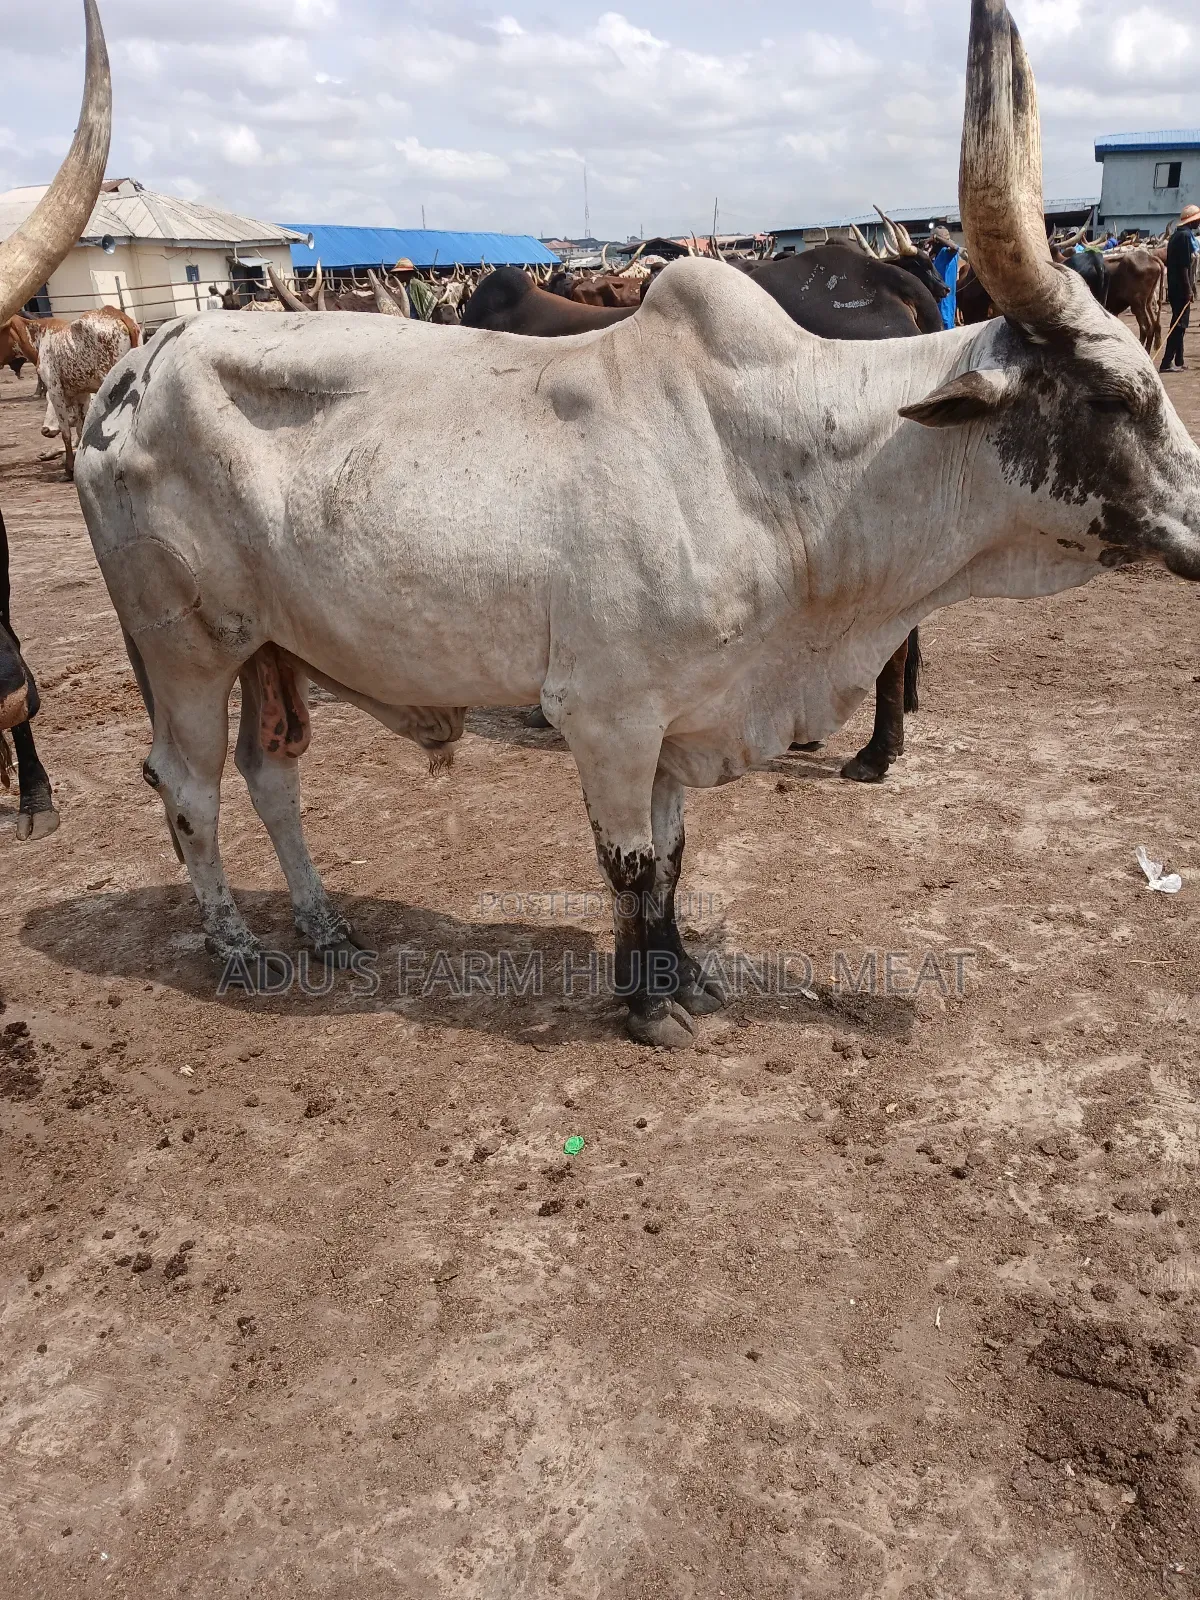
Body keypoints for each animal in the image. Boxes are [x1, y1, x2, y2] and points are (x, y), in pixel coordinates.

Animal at [76, 0, 1200, 1051]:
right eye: (1113, 396)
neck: (780, 465)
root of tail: (137, 365)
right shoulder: (609, 715)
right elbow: (627, 860)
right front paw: (651, 1008)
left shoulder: (680, 716)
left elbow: (671, 858)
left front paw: (679, 978)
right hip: (183, 648)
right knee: (188, 785)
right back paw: (239, 950)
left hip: (269, 647)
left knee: (272, 774)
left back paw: (326, 931)